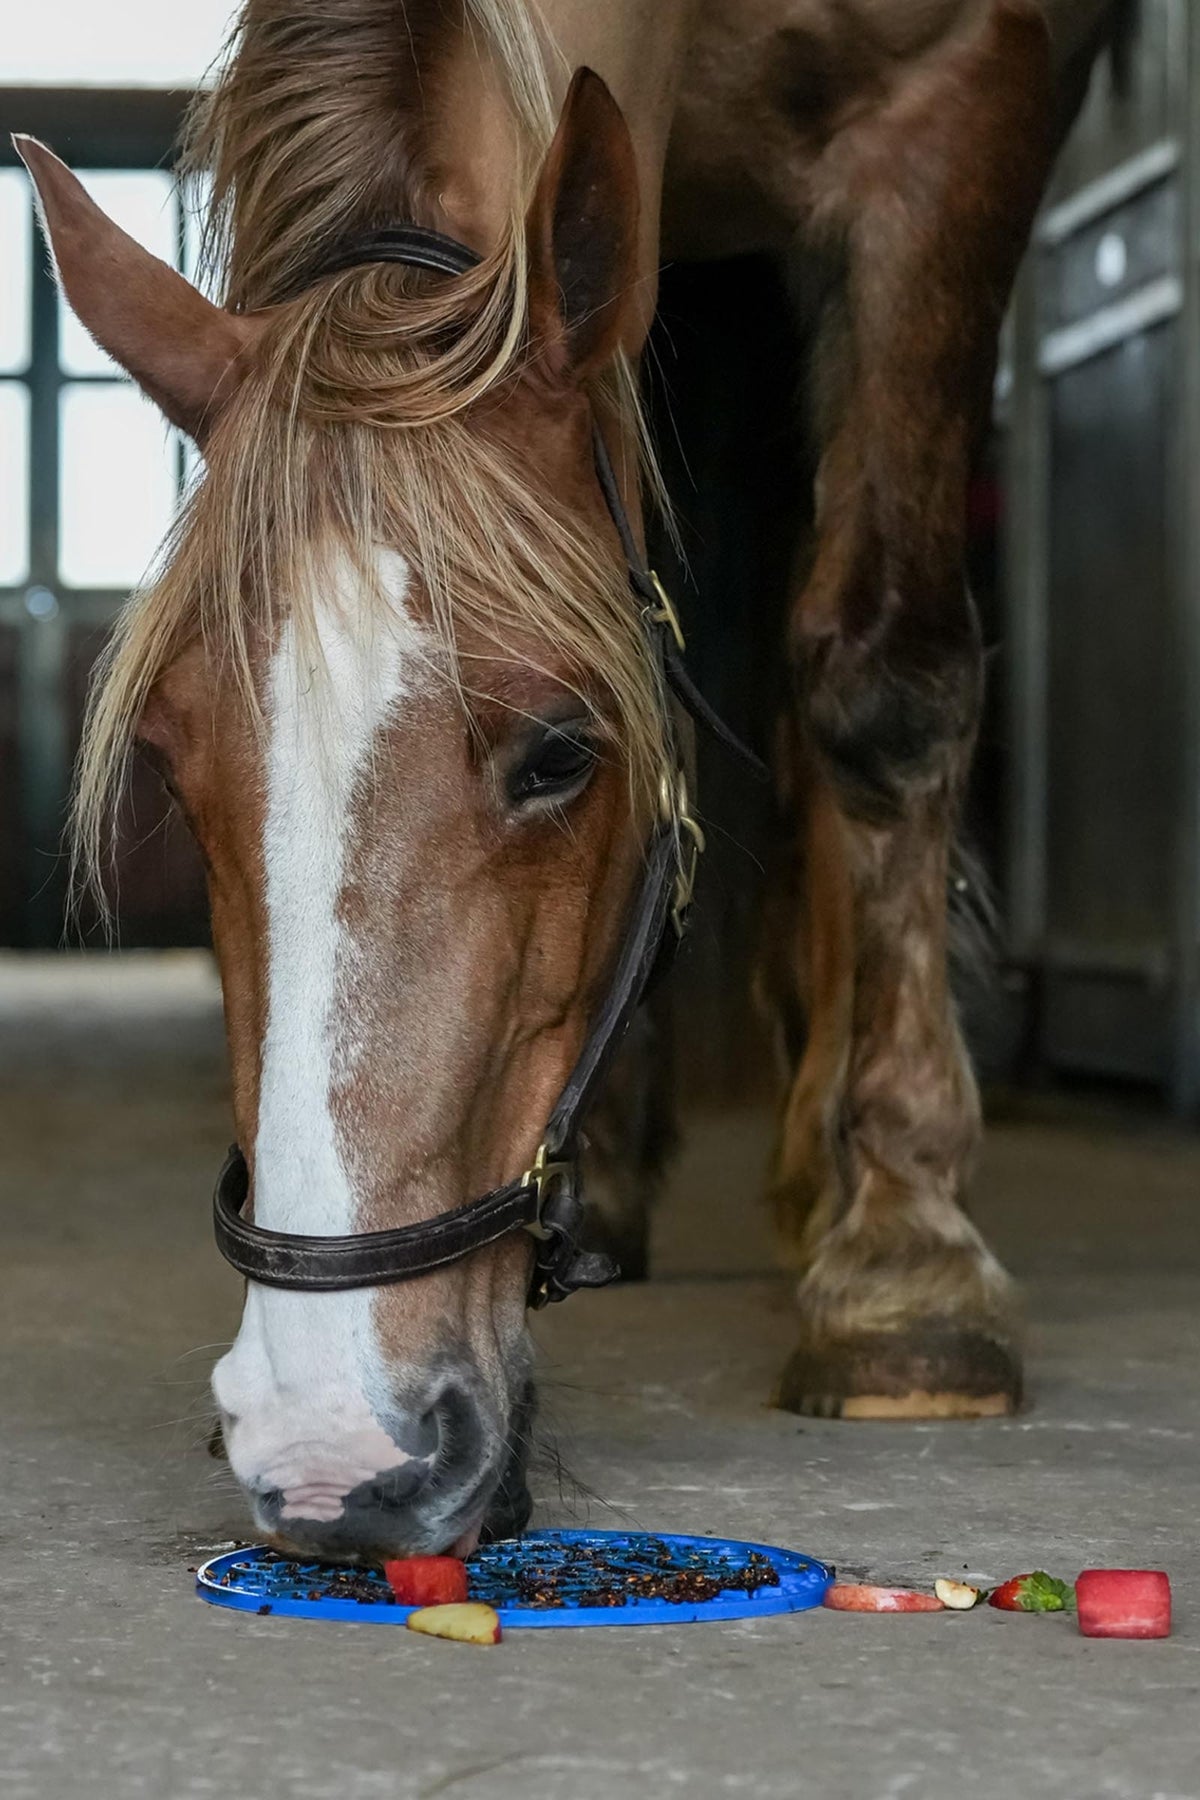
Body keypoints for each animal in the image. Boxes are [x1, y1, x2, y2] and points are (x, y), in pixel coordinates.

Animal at [18, 0, 1115, 1561]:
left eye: (558, 753)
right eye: (173, 763)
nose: (329, 1448)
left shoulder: (965, 98)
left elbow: (884, 680)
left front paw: (909, 1261)